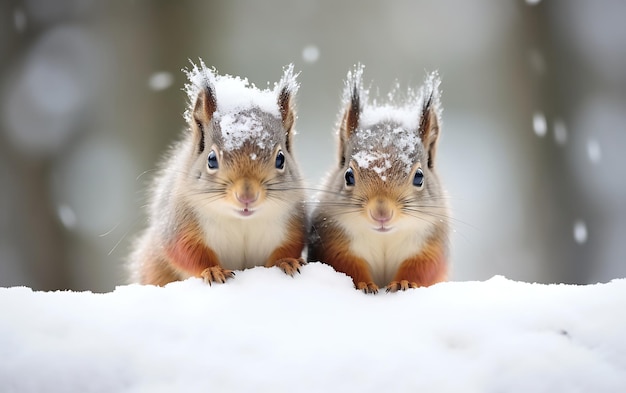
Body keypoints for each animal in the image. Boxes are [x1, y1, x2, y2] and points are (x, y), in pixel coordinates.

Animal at [130, 60, 308, 284]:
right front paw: (213, 270)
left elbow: (288, 247)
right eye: (211, 159)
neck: (241, 221)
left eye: (281, 159)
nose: (247, 196)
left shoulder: (292, 226)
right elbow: (187, 252)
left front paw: (286, 261)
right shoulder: (180, 225)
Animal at [308, 63, 448, 290]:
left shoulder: (430, 245)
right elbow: (347, 265)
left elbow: (422, 267)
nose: (381, 213)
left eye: (419, 177)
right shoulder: (334, 243)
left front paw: (403, 282)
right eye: (348, 176)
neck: (384, 237)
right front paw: (364, 284)